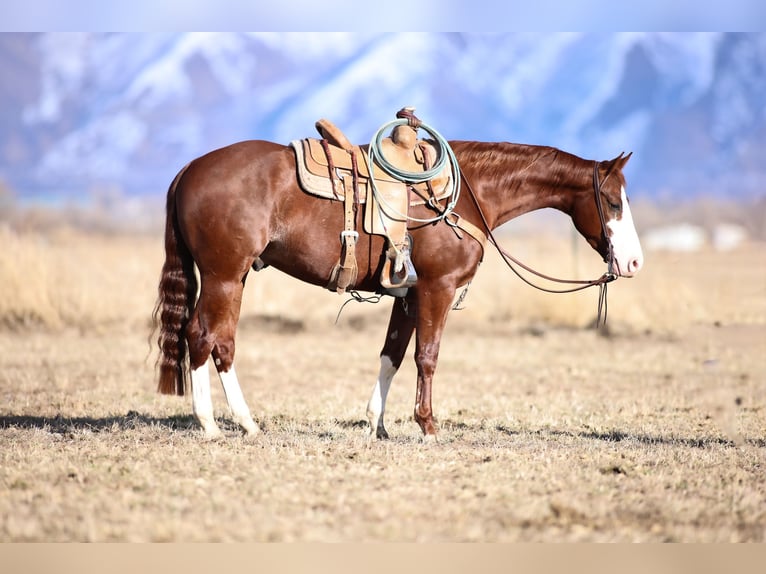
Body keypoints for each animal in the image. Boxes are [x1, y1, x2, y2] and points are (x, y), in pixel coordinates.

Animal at [153, 138, 644, 440]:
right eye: (612, 202)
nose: (634, 262)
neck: (463, 195)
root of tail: (190, 168)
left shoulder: (408, 296)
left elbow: (392, 354)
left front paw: (377, 425)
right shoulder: (436, 289)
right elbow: (427, 356)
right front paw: (427, 426)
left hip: (234, 278)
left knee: (223, 343)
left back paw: (247, 423)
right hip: (222, 275)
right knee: (202, 337)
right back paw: (211, 424)